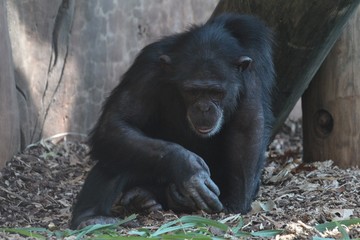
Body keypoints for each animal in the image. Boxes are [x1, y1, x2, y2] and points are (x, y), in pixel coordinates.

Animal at [69, 12, 272, 229]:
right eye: (192, 92)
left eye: (216, 93)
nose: (204, 108)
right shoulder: (146, 69)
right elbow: (117, 122)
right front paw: (189, 168)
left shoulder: (250, 76)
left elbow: (247, 128)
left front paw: (236, 202)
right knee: (115, 151)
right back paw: (93, 216)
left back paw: (155, 197)